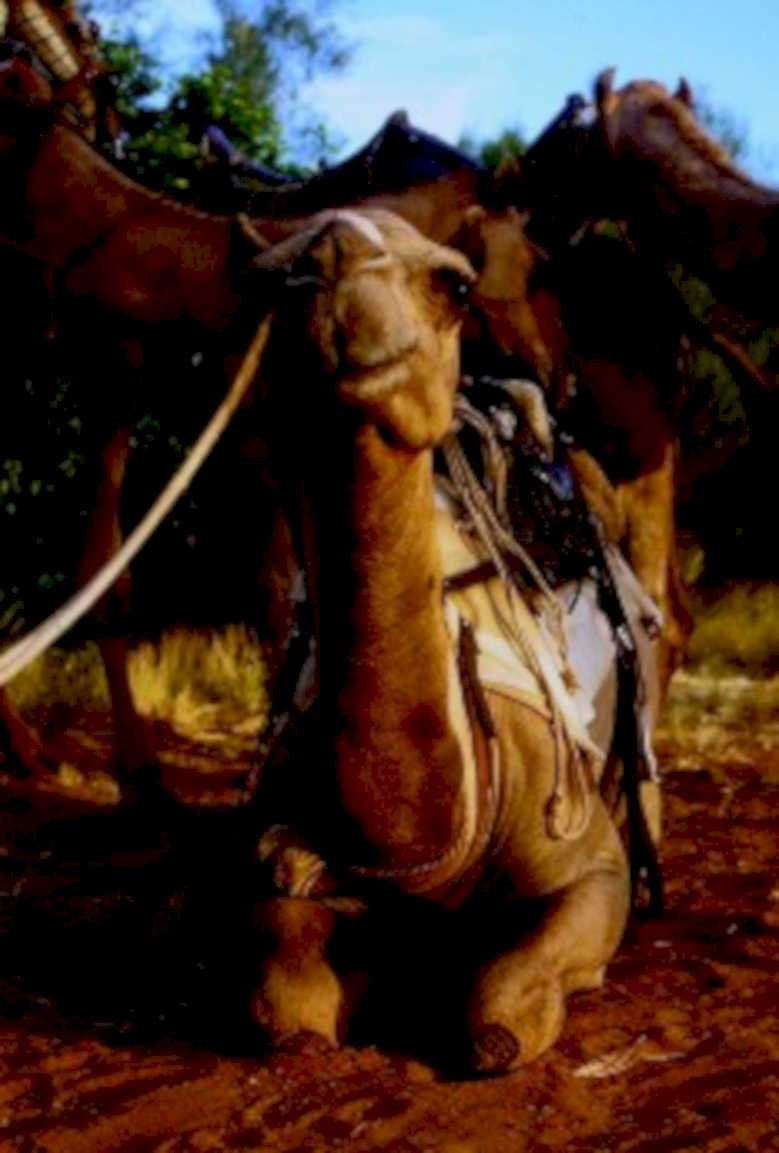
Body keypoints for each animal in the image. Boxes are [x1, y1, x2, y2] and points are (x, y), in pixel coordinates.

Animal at [246, 207, 657, 1075]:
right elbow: (289, 1003)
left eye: (455, 285)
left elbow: (499, 1010)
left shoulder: (584, 858)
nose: (333, 262)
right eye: (265, 283)